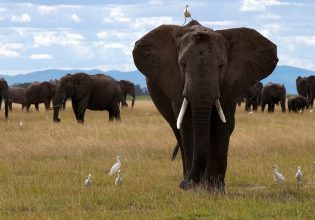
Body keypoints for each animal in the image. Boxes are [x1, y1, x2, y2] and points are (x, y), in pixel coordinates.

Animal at [133, 19, 278, 191]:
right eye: (182, 64)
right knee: (178, 132)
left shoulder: (231, 85)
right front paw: (194, 189)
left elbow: (222, 126)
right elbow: (188, 126)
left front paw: (216, 190)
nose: (184, 184)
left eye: (221, 65)